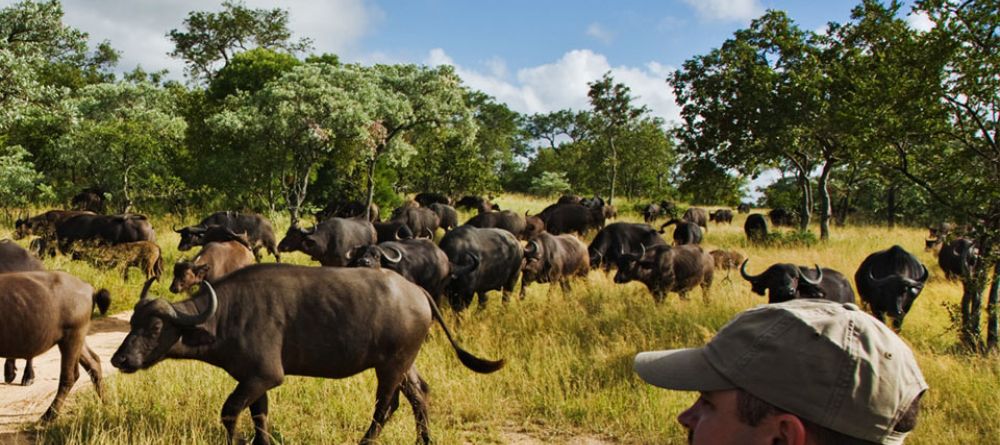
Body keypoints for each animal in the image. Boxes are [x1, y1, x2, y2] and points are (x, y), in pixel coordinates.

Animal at [0, 268, 110, 418]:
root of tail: (89, 288)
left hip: (71, 337)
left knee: (69, 376)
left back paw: (48, 416)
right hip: (78, 338)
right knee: (94, 363)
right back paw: (107, 404)